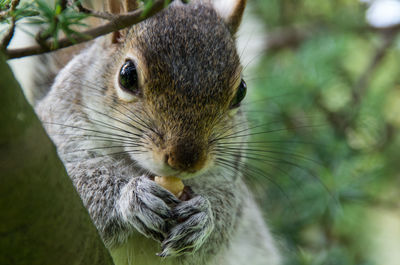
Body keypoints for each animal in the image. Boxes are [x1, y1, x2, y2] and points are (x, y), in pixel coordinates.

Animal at [35, 0, 282, 264]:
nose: (186, 161)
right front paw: (132, 196)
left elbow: (227, 210)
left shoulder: (226, 175)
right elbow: (77, 183)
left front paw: (203, 218)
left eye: (241, 91)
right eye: (127, 75)